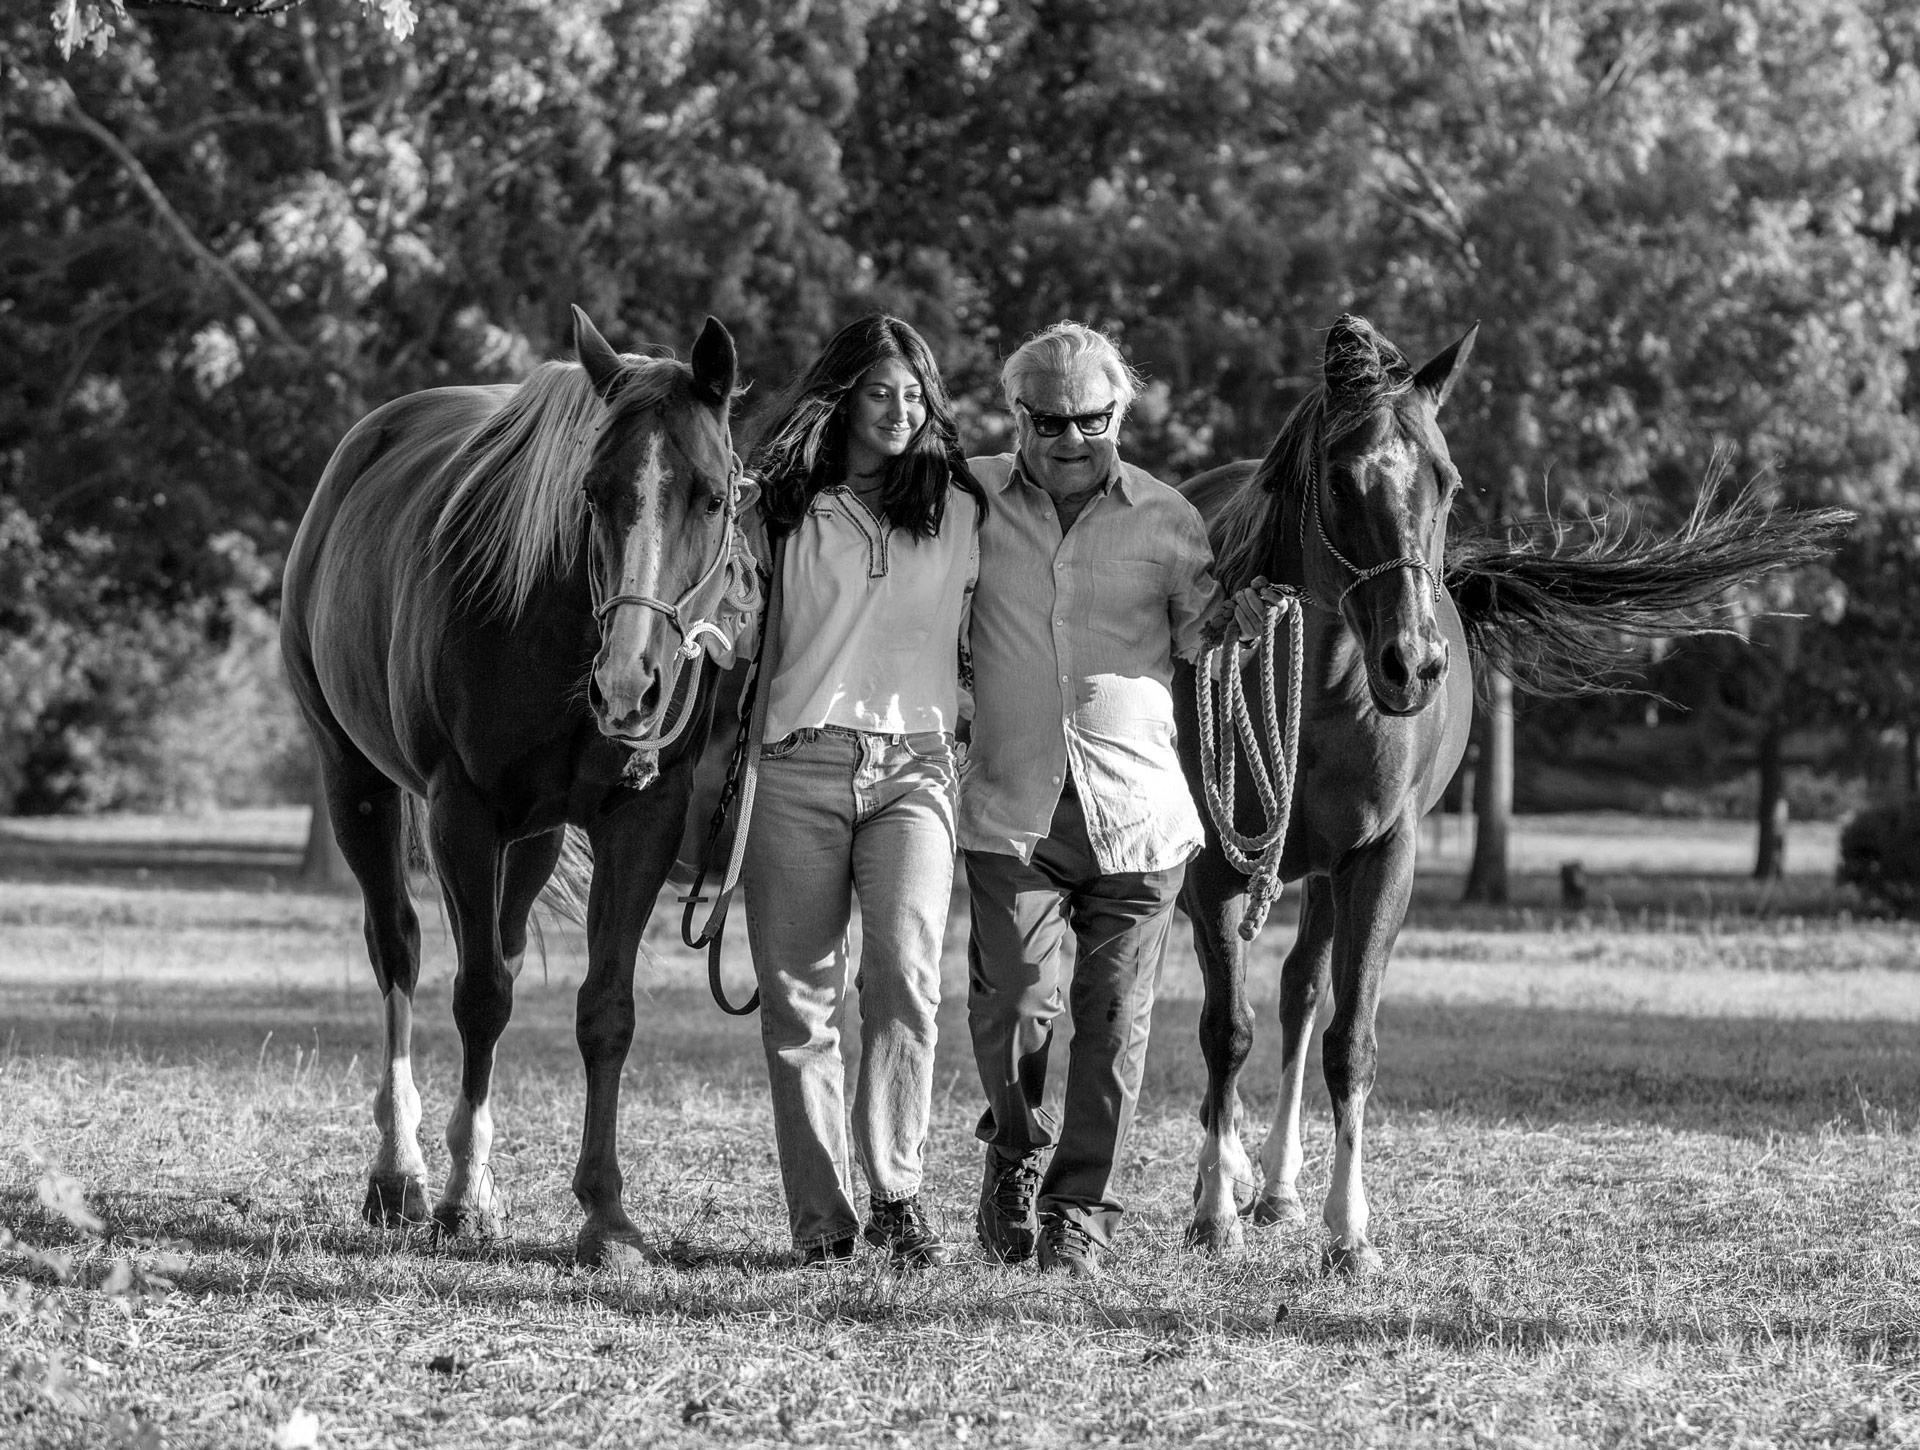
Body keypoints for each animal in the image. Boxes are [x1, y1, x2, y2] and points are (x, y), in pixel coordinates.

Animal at [280, 307, 756, 1268]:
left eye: (712, 495)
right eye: (592, 491)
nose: (630, 685)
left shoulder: (639, 820)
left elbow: (605, 1009)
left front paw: (606, 1215)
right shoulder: (462, 813)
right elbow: (479, 997)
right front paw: (461, 1197)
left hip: (530, 839)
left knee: (493, 946)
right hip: (356, 783)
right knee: (400, 952)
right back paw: (402, 1175)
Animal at [1174, 314, 1849, 1272]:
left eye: (1447, 479)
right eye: (1339, 478)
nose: (1415, 663)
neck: (1321, 684)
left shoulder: (1381, 858)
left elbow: (1351, 1042)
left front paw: (1349, 1231)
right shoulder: (1214, 867)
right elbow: (1224, 1030)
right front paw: (1211, 1210)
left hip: (1328, 876)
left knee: (1303, 992)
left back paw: (1276, 1184)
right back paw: (1232, 1176)